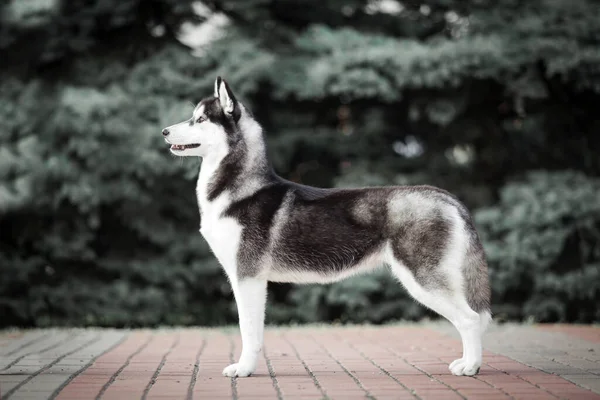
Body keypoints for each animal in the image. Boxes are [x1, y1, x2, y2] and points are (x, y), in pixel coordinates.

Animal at [161, 76, 492, 376]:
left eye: (199, 119)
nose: (164, 131)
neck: (239, 190)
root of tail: (445, 196)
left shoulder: (247, 276)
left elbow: (248, 331)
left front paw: (243, 369)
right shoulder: (249, 279)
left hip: (423, 279)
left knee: (470, 318)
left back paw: (471, 367)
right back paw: (466, 363)